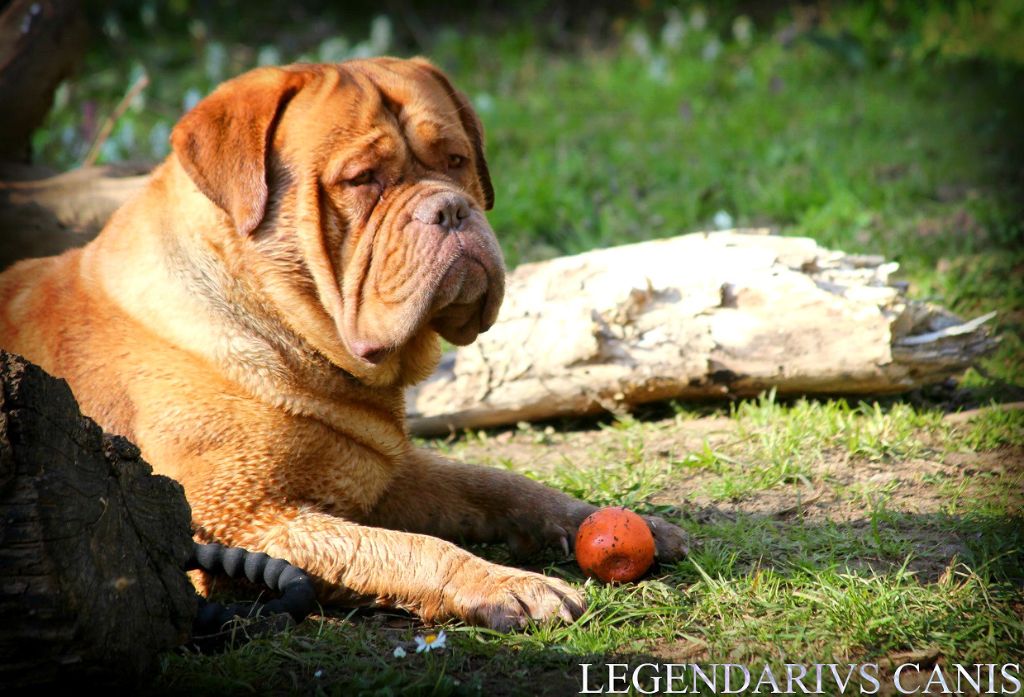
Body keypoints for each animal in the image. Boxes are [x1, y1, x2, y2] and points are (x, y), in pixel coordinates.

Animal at [0, 58, 688, 630]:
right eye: (363, 179)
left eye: (458, 161)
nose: (452, 209)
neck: (287, 335)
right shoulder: (237, 518)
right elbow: (404, 547)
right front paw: (507, 584)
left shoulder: (388, 472)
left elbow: (498, 484)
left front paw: (608, 521)